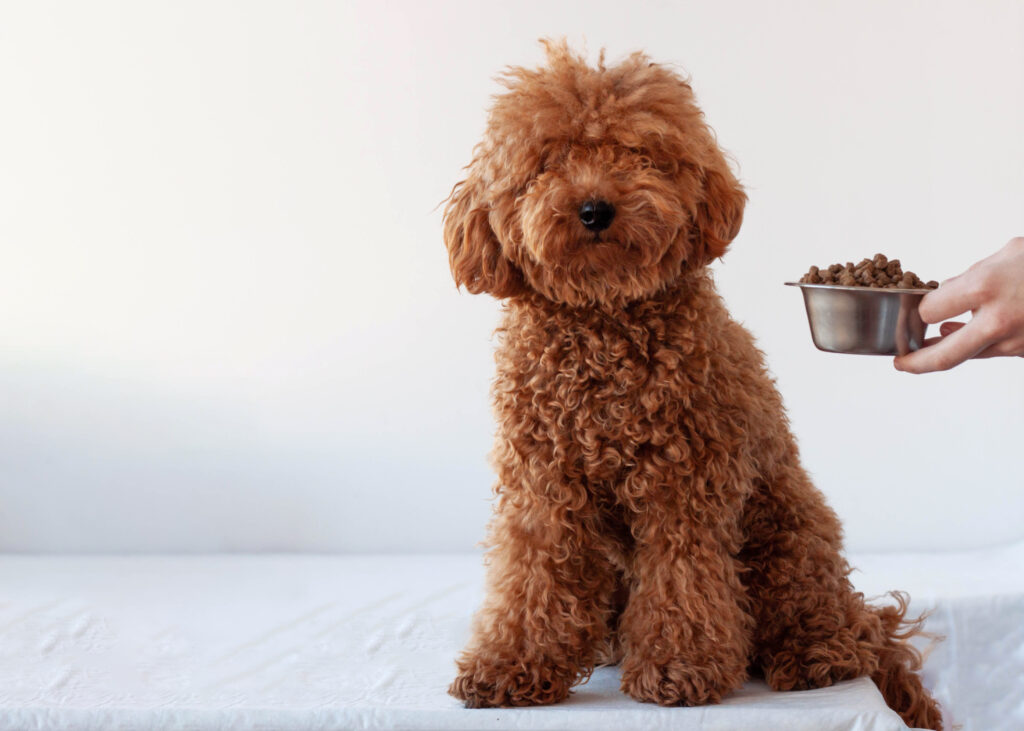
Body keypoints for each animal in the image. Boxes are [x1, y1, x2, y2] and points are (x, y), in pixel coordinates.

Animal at [444, 41, 937, 728]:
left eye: (638, 153)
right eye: (549, 161)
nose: (595, 209)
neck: (605, 324)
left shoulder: (686, 486)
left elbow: (683, 583)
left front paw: (680, 669)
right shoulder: (544, 488)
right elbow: (532, 579)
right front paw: (509, 667)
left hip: (789, 538)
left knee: (832, 626)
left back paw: (814, 656)